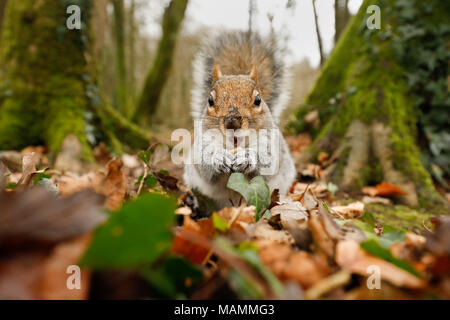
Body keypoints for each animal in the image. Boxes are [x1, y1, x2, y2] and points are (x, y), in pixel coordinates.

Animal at [183, 31, 296, 209]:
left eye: (258, 100)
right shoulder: (203, 140)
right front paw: (218, 157)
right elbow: (202, 161)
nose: (232, 122)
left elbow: (269, 159)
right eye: (210, 100)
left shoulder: (270, 140)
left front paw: (247, 157)